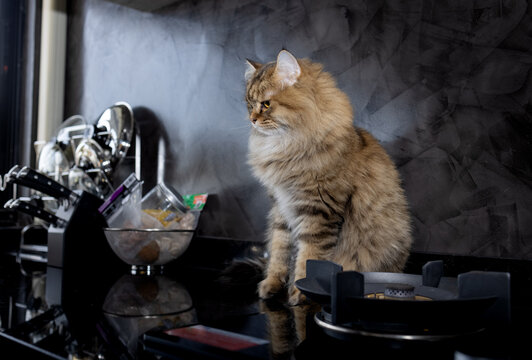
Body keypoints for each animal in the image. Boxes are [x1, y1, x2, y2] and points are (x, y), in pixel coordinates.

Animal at [245, 50, 412, 304]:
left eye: (266, 104)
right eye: (249, 104)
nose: (252, 120)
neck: (286, 146)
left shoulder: (318, 211)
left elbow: (308, 257)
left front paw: (299, 293)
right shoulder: (281, 208)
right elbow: (279, 251)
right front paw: (272, 285)